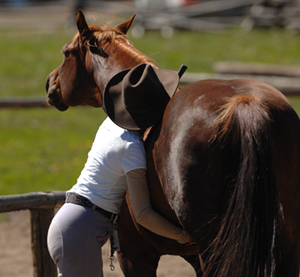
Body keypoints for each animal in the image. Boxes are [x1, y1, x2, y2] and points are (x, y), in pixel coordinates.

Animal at [45, 9, 300, 274]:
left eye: (66, 52)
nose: (50, 82)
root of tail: (245, 103)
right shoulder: (193, 257)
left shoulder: (135, 255)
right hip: (286, 243)